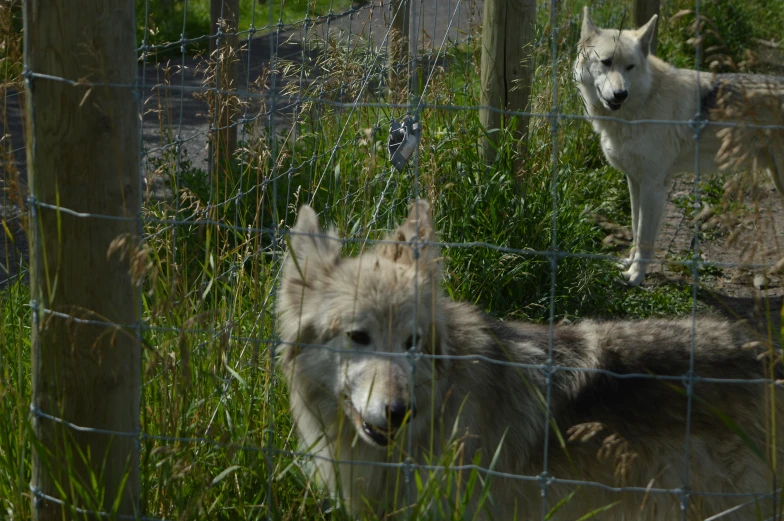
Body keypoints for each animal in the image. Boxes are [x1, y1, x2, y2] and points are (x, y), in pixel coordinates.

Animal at [568, 6, 784, 286]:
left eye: (630, 67)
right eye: (606, 62)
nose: (620, 94)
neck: (643, 103)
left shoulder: (654, 186)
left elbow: (645, 238)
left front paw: (635, 276)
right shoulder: (635, 182)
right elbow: (635, 229)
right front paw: (628, 263)